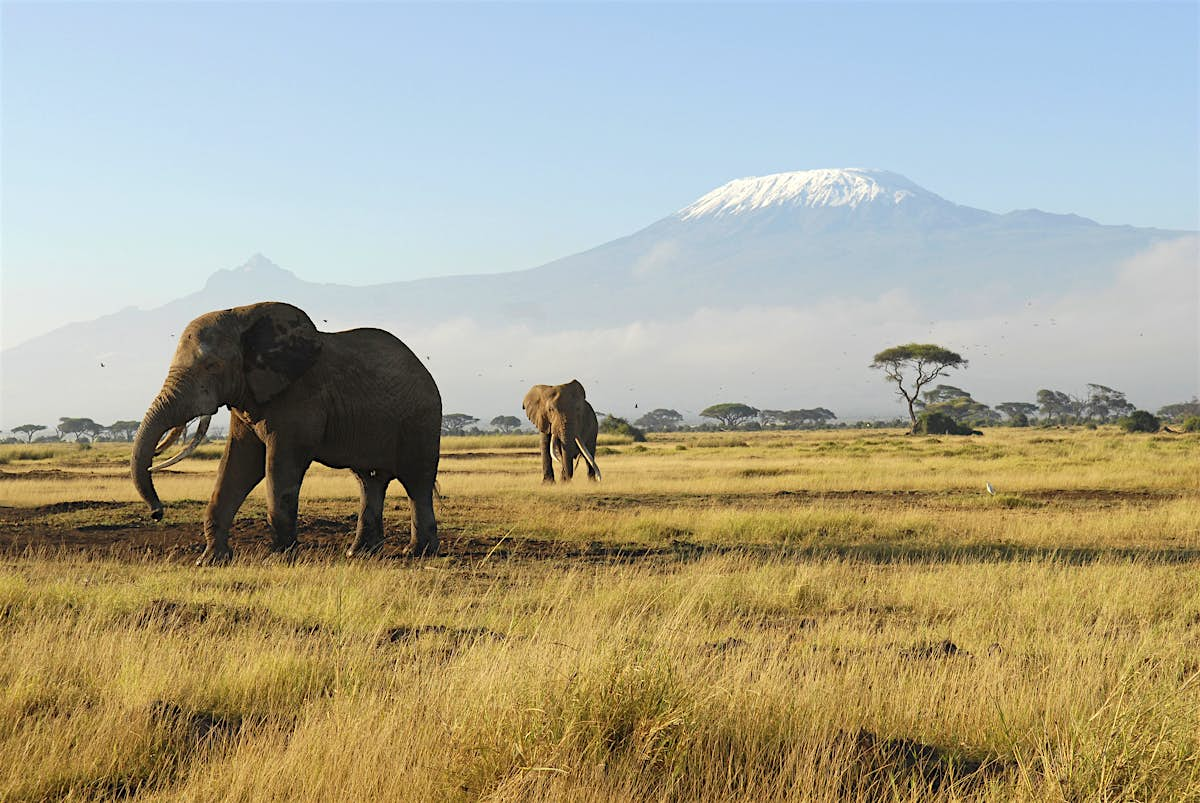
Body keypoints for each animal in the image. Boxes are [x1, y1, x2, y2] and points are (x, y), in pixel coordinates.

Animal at [132, 302, 441, 564]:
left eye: (212, 366)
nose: (157, 513)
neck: (242, 316)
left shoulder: (299, 398)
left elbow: (280, 465)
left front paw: (280, 557)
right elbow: (239, 465)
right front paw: (210, 560)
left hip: (421, 421)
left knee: (417, 482)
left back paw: (417, 552)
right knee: (369, 481)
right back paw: (359, 553)